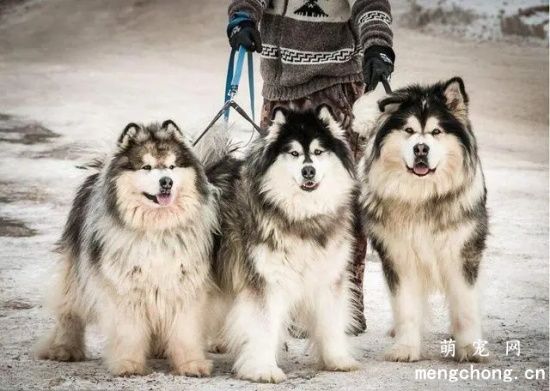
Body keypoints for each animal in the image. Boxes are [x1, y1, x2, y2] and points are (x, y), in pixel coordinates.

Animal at [35, 121, 218, 378]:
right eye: (146, 167)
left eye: (171, 166)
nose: (166, 182)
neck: (156, 229)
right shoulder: (126, 288)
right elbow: (129, 331)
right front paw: (129, 364)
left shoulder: (182, 285)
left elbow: (185, 332)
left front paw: (190, 364)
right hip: (76, 278)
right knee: (69, 312)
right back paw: (64, 348)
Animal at [207, 106, 362, 382]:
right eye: (294, 153)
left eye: (318, 152)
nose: (308, 171)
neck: (302, 217)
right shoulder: (266, 280)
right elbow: (264, 326)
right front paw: (263, 368)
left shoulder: (328, 276)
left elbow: (331, 320)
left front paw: (338, 359)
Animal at [358, 78, 492, 362]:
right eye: (409, 130)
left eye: (436, 131)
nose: (421, 148)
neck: (422, 195)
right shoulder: (398, 255)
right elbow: (405, 307)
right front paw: (406, 348)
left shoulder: (461, 251)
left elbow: (465, 305)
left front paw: (470, 348)